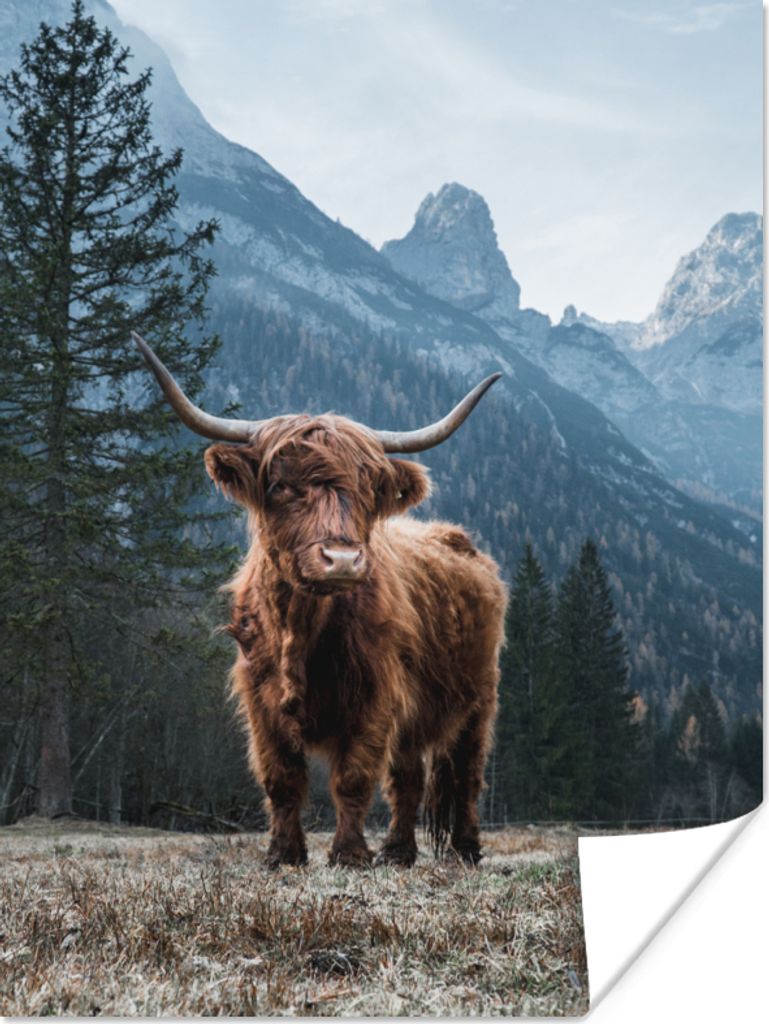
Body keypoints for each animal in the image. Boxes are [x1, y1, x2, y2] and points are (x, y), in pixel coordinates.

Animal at [133, 332, 507, 868]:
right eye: (281, 485)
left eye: (368, 489)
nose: (343, 559)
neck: (301, 628)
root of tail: (457, 538)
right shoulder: (260, 700)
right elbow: (281, 779)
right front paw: (283, 854)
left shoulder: (375, 695)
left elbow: (353, 778)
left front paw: (348, 854)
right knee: (409, 779)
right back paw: (398, 852)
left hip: (480, 698)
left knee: (467, 774)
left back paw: (465, 850)